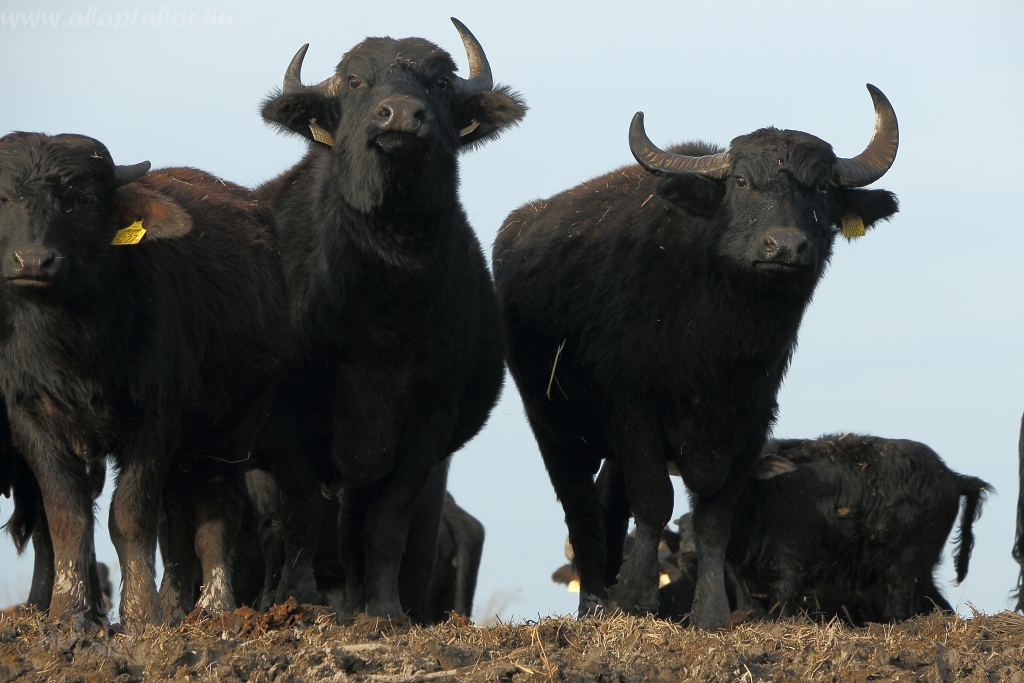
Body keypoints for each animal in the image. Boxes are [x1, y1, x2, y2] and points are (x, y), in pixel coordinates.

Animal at [0, 132, 286, 626]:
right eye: (1, 197)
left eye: (83, 201)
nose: (34, 261)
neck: (74, 344)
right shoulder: (30, 415)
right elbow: (65, 514)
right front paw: (68, 612)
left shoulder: (156, 418)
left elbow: (130, 515)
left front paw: (139, 614)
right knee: (176, 518)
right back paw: (176, 604)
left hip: (235, 423)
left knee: (217, 508)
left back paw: (214, 607)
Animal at [251, 18, 524, 618]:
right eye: (355, 81)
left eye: (440, 83)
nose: (399, 115)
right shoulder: (287, 413)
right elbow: (300, 512)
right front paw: (300, 600)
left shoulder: (429, 423)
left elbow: (385, 524)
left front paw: (384, 611)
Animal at [491, 82, 901, 626]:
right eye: (742, 181)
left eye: (820, 188)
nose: (785, 247)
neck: (719, 344)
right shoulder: (634, 409)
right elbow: (654, 500)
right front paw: (636, 600)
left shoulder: (750, 421)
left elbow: (713, 518)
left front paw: (709, 612)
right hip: (552, 420)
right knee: (580, 506)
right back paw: (595, 602)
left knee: (608, 502)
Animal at [724, 438, 987, 626]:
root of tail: (952, 477)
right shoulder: (743, 580)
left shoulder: (793, 568)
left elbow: (783, 610)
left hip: (909, 562)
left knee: (903, 605)